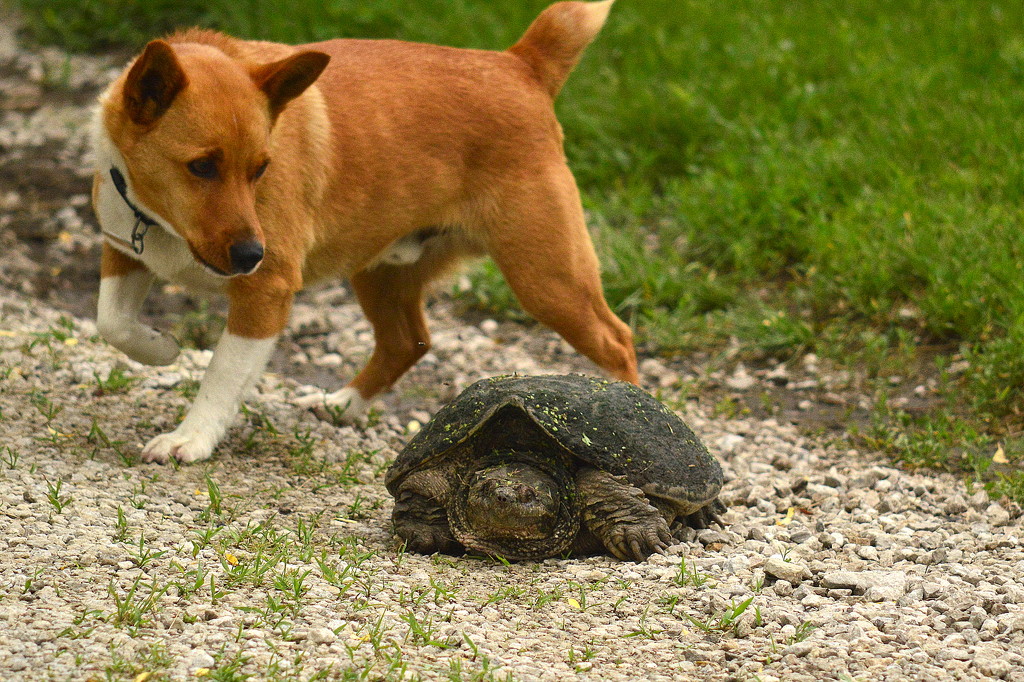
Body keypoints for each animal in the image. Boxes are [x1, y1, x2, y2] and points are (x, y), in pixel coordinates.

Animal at [90, 0, 630, 462]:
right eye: (201, 167)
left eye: (261, 168)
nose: (250, 256)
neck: (163, 224)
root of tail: (519, 64)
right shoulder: (123, 252)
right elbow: (111, 322)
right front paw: (159, 348)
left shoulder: (266, 293)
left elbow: (222, 373)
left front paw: (192, 437)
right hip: (380, 272)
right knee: (407, 342)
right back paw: (343, 404)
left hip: (548, 281)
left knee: (618, 342)